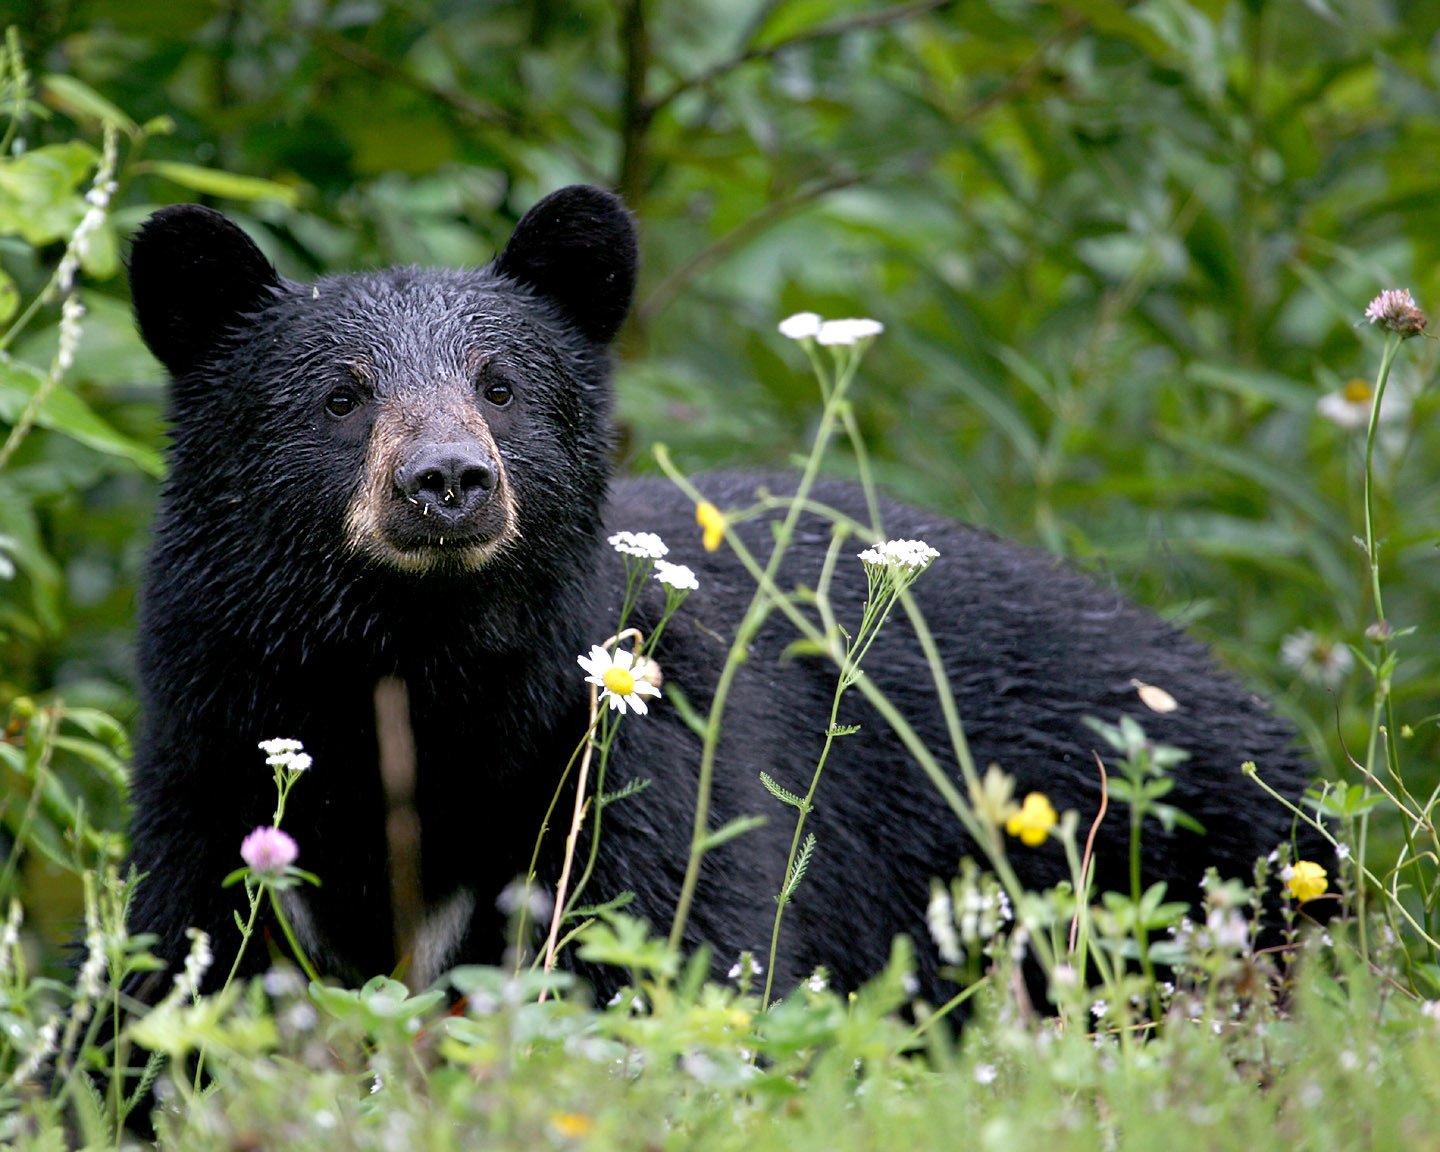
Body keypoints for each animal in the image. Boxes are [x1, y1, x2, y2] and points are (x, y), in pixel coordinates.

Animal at [129, 182, 1319, 1008]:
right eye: (342, 396)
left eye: (500, 387)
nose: (448, 481)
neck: (418, 667)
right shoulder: (213, 742)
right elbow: (175, 962)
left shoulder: (633, 748)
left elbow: (673, 939)